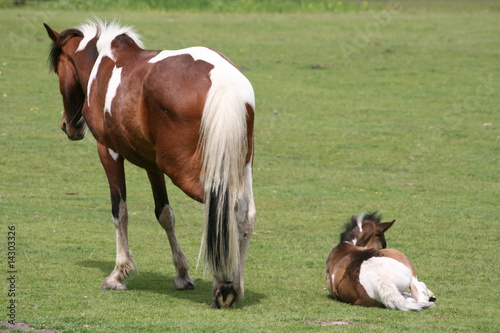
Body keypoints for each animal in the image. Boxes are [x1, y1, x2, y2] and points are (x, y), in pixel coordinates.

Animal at [43, 19, 256, 308]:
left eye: (58, 69)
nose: (68, 126)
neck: (104, 59)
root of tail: (222, 80)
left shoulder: (108, 151)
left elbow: (119, 210)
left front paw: (118, 274)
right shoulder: (152, 164)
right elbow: (165, 214)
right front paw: (182, 275)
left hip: (186, 172)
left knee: (223, 209)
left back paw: (223, 284)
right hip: (239, 166)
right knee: (244, 215)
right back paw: (237, 284)